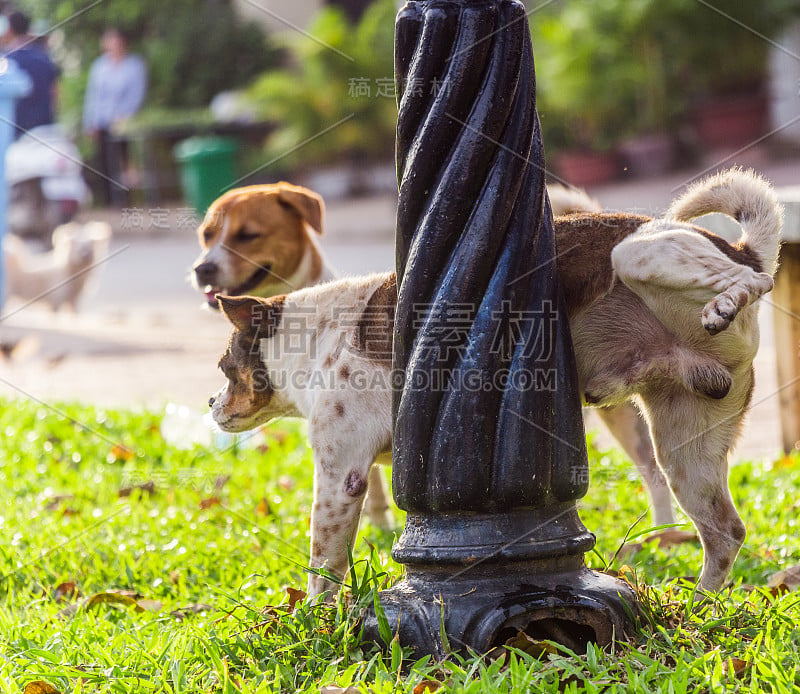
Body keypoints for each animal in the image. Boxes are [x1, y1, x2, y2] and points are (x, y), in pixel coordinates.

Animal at [202, 169, 780, 600]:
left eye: (224, 368)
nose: (210, 403)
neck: (315, 335)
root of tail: (743, 247)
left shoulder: (341, 473)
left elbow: (323, 563)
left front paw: (315, 622)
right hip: (686, 450)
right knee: (726, 534)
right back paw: (700, 606)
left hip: (639, 257)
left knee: (755, 281)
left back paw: (725, 303)